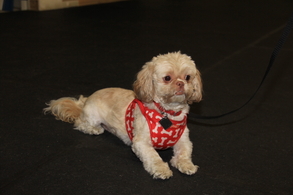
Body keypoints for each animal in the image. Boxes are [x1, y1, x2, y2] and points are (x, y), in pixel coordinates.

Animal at [44, 51, 202, 179]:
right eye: (167, 78)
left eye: (188, 77)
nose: (181, 83)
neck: (167, 112)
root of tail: (85, 102)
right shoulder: (141, 143)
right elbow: (153, 156)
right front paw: (161, 169)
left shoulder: (183, 140)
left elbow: (184, 153)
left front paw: (186, 164)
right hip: (92, 116)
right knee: (80, 123)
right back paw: (94, 129)